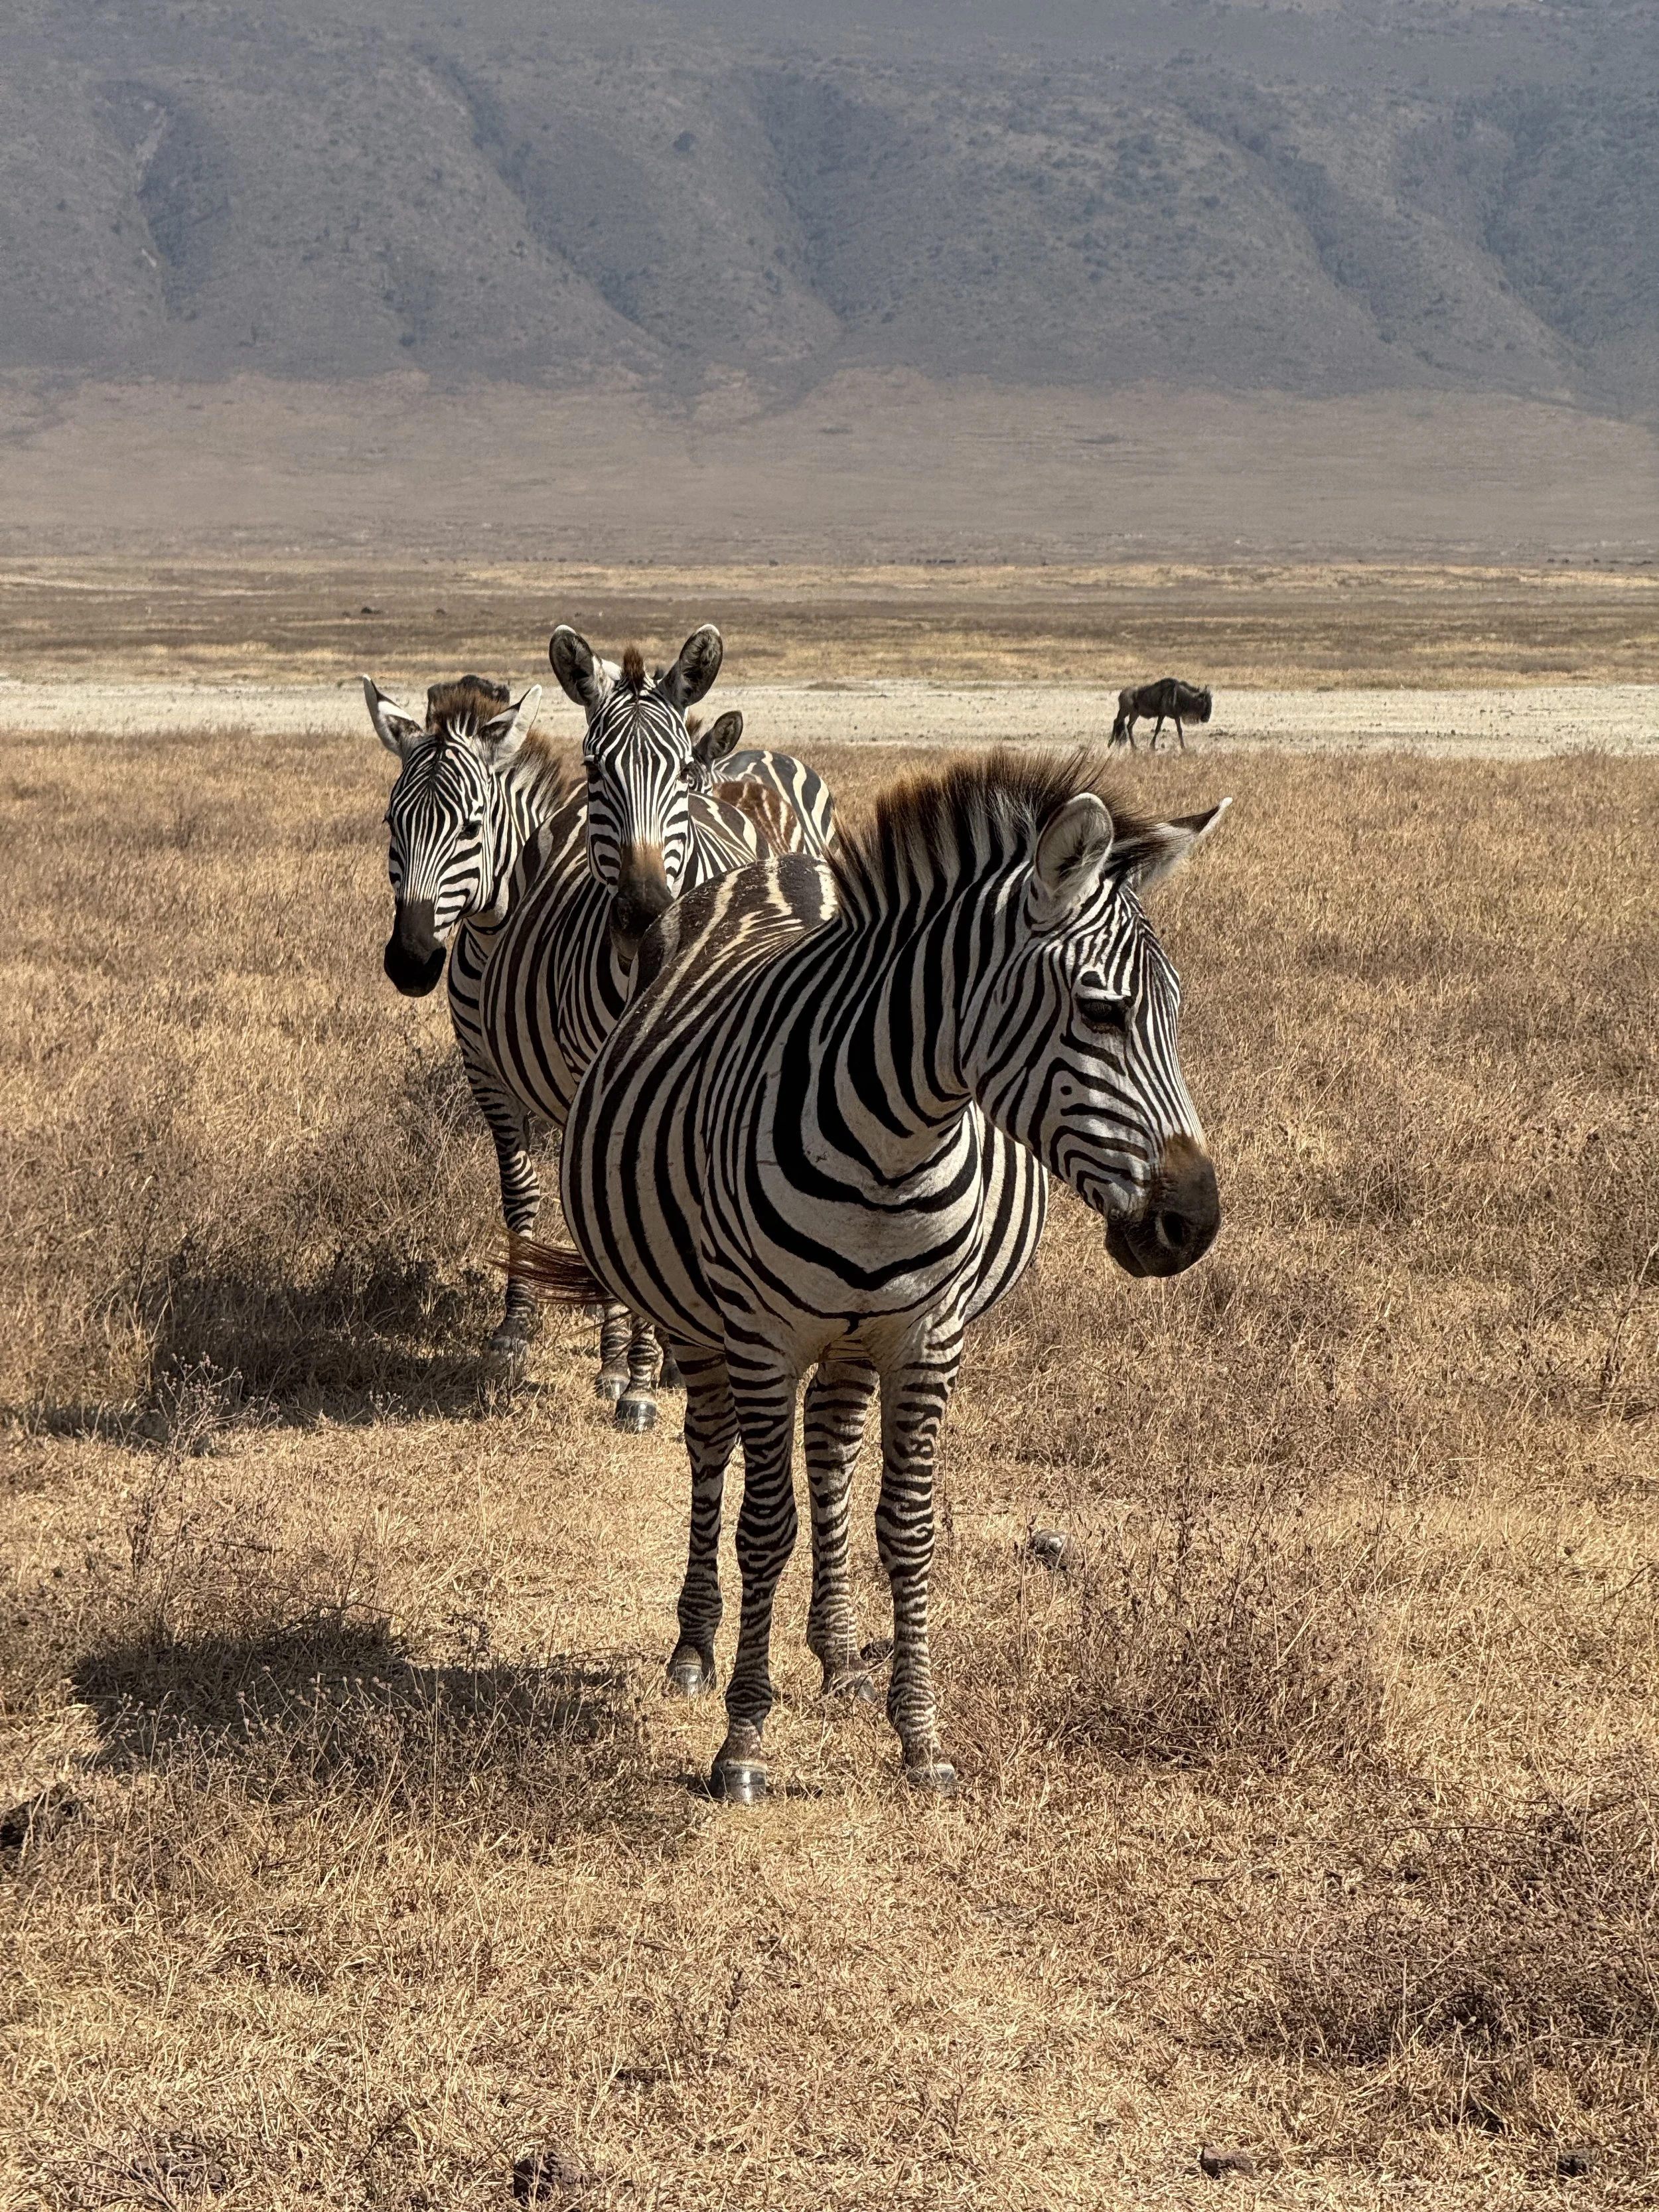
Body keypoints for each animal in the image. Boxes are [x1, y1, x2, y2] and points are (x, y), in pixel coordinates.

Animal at [511, 749, 1228, 1799]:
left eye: (1176, 1012)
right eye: (1103, 1010)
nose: (1193, 1223)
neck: (897, 1139)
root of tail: (783, 863)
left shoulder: (927, 1336)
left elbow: (910, 1525)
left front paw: (919, 1736)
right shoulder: (763, 1337)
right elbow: (766, 1526)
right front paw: (743, 1741)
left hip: (850, 1337)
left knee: (831, 1452)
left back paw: (840, 1649)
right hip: (697, 1319)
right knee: (712, 1451)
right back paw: (695, 1648)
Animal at [1110, 678, 1213, 751]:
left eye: (1211, 702)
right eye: (1204, 702)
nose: (1206, 719)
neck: (1179, 696)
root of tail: (1122, 693)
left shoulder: (1175, 716)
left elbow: (1178, 731)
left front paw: (1183, 747)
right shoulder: (1164, 714)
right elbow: (1158, 729)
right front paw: (1152, 746)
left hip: (1134, 713)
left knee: (1129, 726)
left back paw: (1134, 747)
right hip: (1125, 711)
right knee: (1116, 721)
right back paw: (1110, 743)